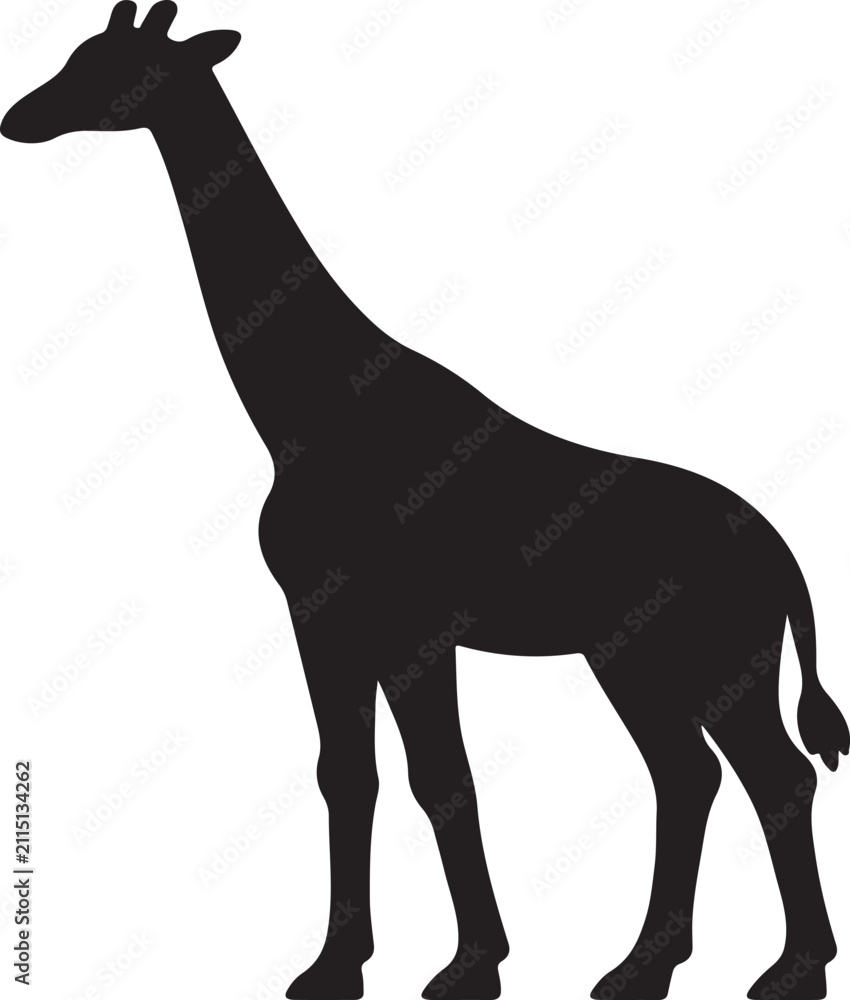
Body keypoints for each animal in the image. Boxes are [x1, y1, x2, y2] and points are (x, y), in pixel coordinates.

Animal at [3, 4, 848, 998]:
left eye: (114, 65)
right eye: (76, 52)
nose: (19, 118)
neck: (311, 411)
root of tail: (784, 554)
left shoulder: (412, 622)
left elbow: (440, 777)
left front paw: (470, 965)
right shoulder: (324, 614)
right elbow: (348, 774)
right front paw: (337, 965)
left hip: (710, 658)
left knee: (769, 777)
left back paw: (787, 969)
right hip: (645, 661)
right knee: (696, 776)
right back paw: (647, 967)